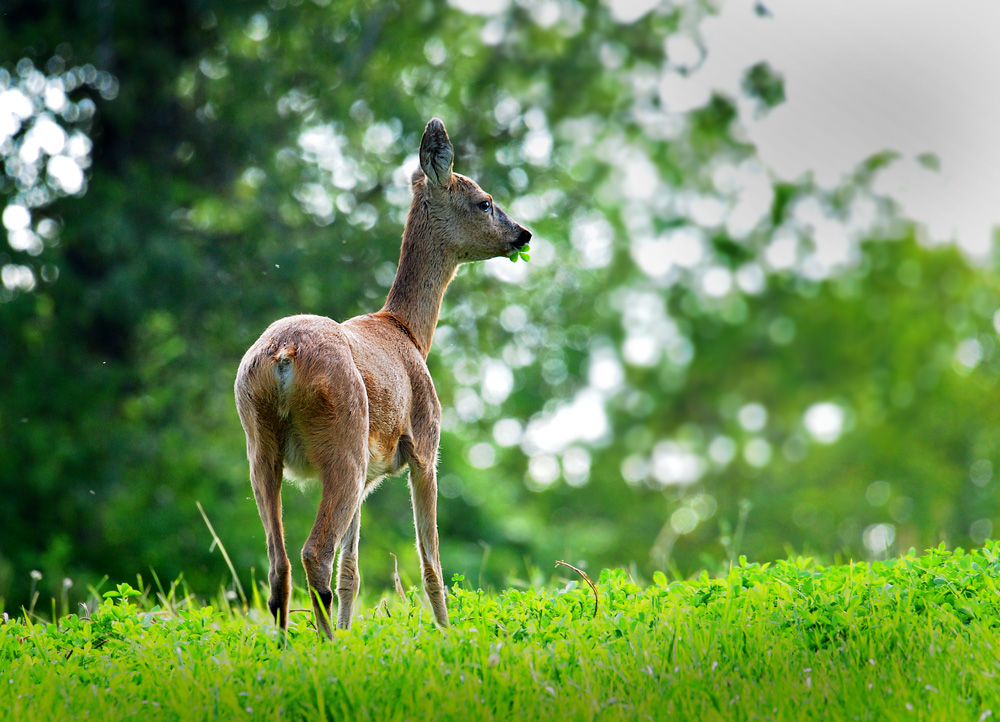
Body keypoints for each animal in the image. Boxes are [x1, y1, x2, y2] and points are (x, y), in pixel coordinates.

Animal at [235, 118, 531, 639]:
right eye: (485, 201)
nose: (523, 233)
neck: (408, 331)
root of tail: (282, 356)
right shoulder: (425, 447)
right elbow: (430, 564)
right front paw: (447, 635)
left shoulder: (372, 477)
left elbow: (352, 571)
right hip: (345, 440)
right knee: (314, 553)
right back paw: (326, 644)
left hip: (261, 447)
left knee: (279, 564)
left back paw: (290, 646)